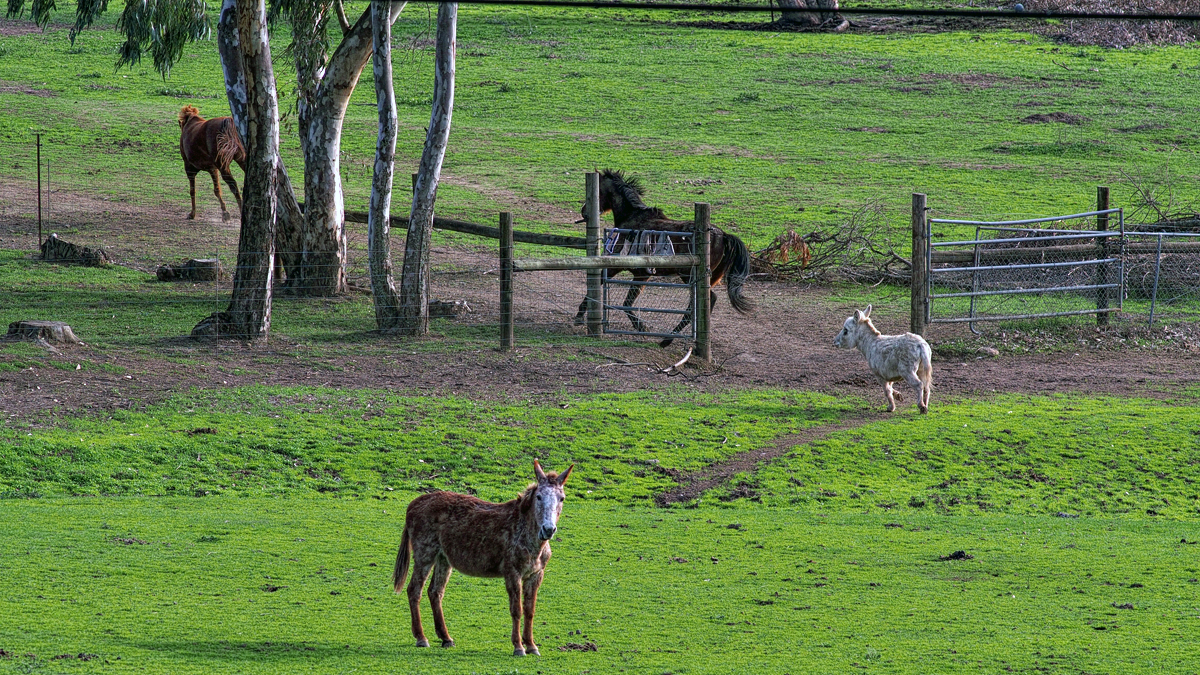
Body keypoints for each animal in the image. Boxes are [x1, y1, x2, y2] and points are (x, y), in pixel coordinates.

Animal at [396, 458, 573, 653]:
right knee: (414, 590)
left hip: (443, 559)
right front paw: (518, 647)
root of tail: (412, 505)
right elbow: (516, 610)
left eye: (562, 498)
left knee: (435, 592)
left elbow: (530, 610)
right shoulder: (512, 572)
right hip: (425, 554)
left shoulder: (535, 574)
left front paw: (532, 646)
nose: (548, 529)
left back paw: (446, 638)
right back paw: (421, 637)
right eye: (539, 496)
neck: (529, 540)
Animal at [571, 168, 748, 345]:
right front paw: (641, 327)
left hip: (690, 276)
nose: (584, 211)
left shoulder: (617, 267)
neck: (631, 218)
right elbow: (627, 303)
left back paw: (668, 339)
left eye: (596, 191)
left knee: (702, 302)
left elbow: (606, 293)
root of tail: (723, 235)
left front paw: (579, 317)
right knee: (704, 302)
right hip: (709, 278)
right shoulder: (641, 275)